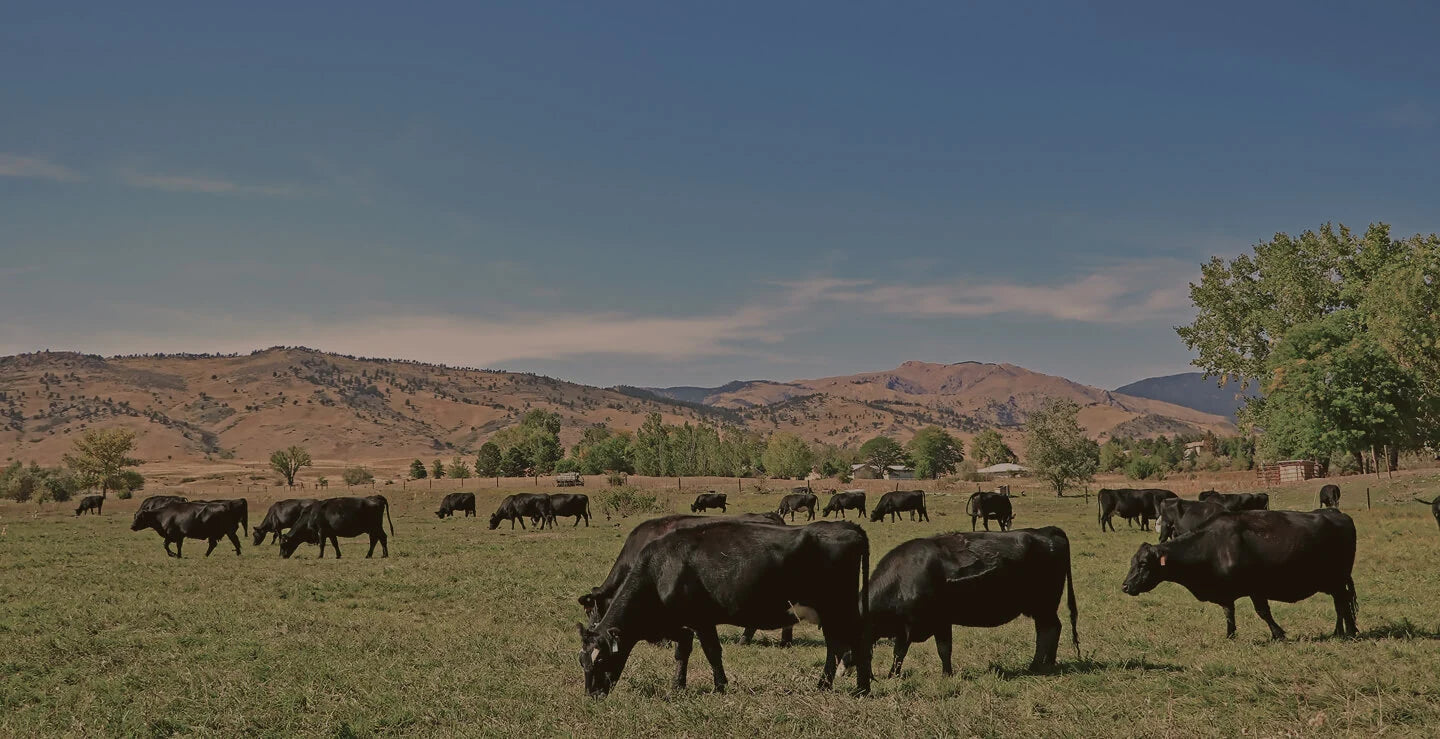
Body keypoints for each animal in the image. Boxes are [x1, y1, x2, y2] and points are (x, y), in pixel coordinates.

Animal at [577, 520, 871, 697]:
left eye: (600, 659)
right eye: (582, 661)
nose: (592, 694)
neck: (661, 570)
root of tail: (847, 526)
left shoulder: (701, 620)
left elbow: (712, 652)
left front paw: (719, 686)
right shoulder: (681, 625)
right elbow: (682, 652)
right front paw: (678, 686)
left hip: (839, 607)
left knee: (854, 642)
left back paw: (861, 689)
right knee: (835, 645)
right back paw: (824, 685)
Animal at [869, 527, 1078, 677]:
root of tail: (1046, 531)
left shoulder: (927, 623)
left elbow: (936, 650)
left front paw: (945, 675)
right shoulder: (920, 625)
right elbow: (907, 652)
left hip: (1044, 606)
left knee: (1049, 630)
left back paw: (1037, 665)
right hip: (1041, 609)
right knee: (1048, 629)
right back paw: (1047, 663)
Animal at [1122, 508, 1358, 640]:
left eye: (1143, 564)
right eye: (1132, 562)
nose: (1125, 586)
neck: (1213, 546)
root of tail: (1337, 514)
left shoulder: (1256, 588)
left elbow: (1263, 612)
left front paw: (1278, 634)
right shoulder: (1225, 591)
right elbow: (1229, 613)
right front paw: (1230, 635)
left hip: (1337, 580)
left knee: (1342, 603)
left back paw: (1345, 632)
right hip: (1333, 582)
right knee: (1341, 603)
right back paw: (1344, 631)